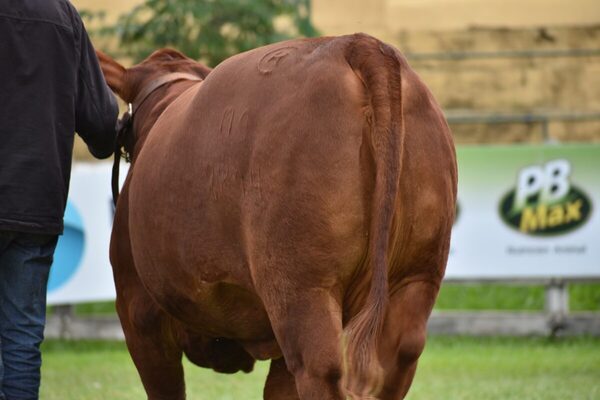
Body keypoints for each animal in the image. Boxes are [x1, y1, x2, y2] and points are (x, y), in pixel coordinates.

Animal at [98, 32, 458, 398]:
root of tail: (355, 43)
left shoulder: (139, 316)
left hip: (302, 290)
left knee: (319, 367)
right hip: (415, 277)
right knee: (400, 354)